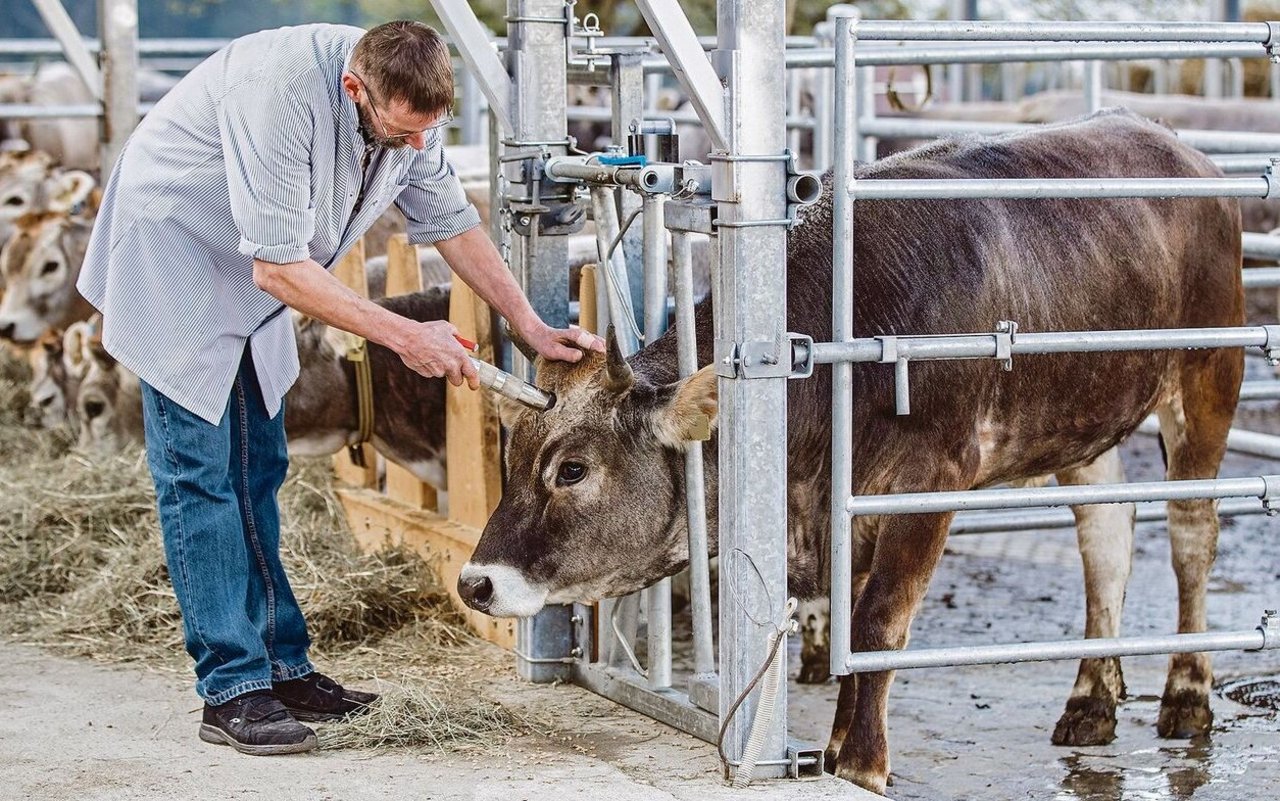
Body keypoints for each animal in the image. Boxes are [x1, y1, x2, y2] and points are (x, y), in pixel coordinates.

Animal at [458, 107, 1239, 793]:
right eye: (513, 456)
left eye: (573, 469)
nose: (475, 583)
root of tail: (1176, 146)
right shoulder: (844, 503)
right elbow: (848, 623)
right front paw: (832, 750)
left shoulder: (928, 481)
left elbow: (877, 621)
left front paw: (862, 762)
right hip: (1086, 416)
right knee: (1105, 536)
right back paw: (1090, 701)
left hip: (1208, 378)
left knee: (1191, 534)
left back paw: (1187, 694)